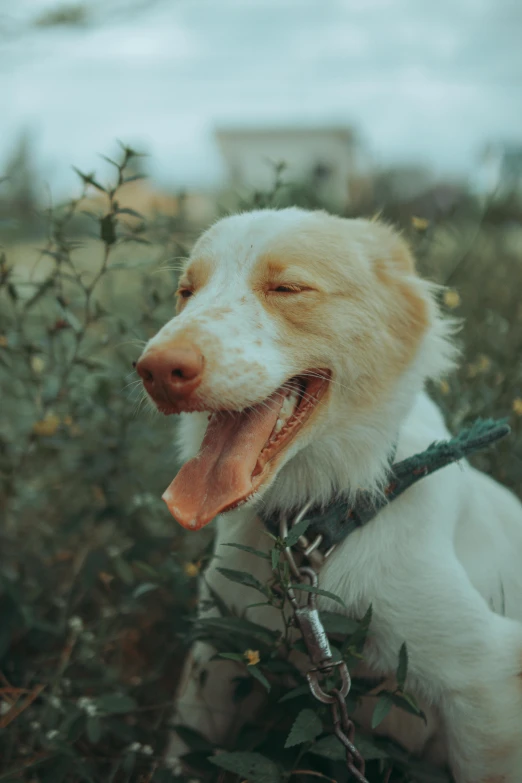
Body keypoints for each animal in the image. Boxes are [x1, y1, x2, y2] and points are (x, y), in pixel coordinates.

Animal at [135, 208, 520, 783]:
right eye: (186, 292)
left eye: (288, 288)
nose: (157, 371)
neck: (316, 522)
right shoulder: (216, 657)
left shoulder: (486, 682)